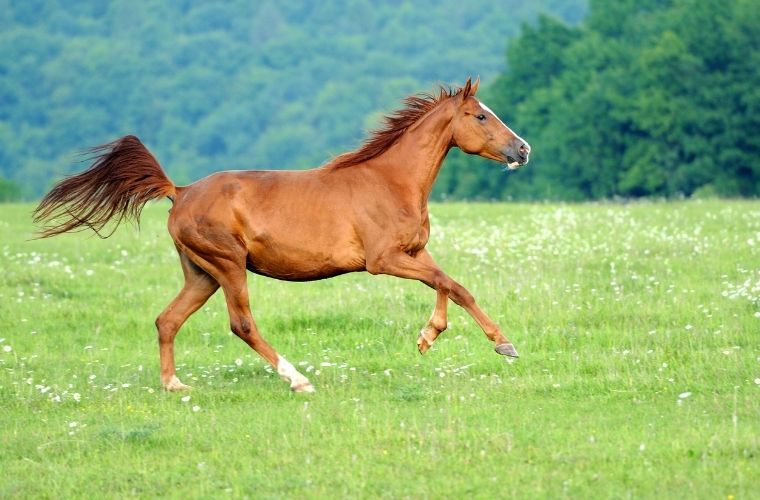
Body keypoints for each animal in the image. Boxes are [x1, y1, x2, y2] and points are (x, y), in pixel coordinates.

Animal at [34, 76, 528, 392]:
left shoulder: (415, 252)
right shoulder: (383, 260)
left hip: (201, 273)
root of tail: (180, 191)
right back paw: (298, 380)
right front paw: (499, 344)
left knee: (167, 320)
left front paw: (436, 337)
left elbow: (452, 286)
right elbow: (449, 283)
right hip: (229, 266)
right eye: (480, 116)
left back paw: (174, 385)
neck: (390, 180)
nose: (523, 149)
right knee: (242, 324)